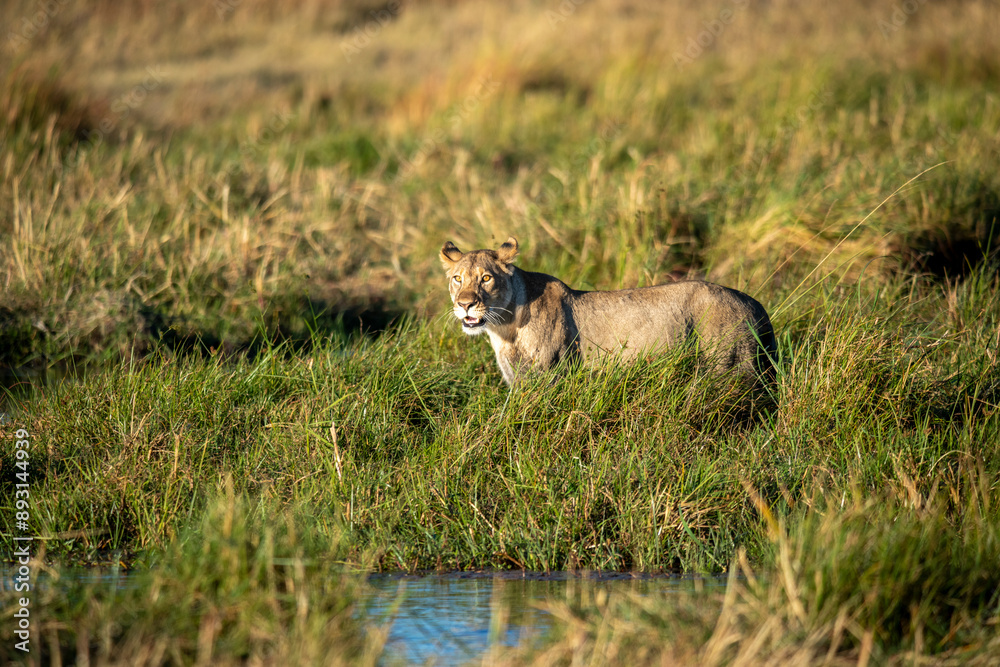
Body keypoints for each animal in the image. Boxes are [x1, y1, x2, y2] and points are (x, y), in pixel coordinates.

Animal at [440, 236, 777, 396]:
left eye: (486, 278)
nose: (465, 304)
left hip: (729, 368)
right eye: (458, 279)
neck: (504, 329)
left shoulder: (549, 378)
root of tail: (754, 303)